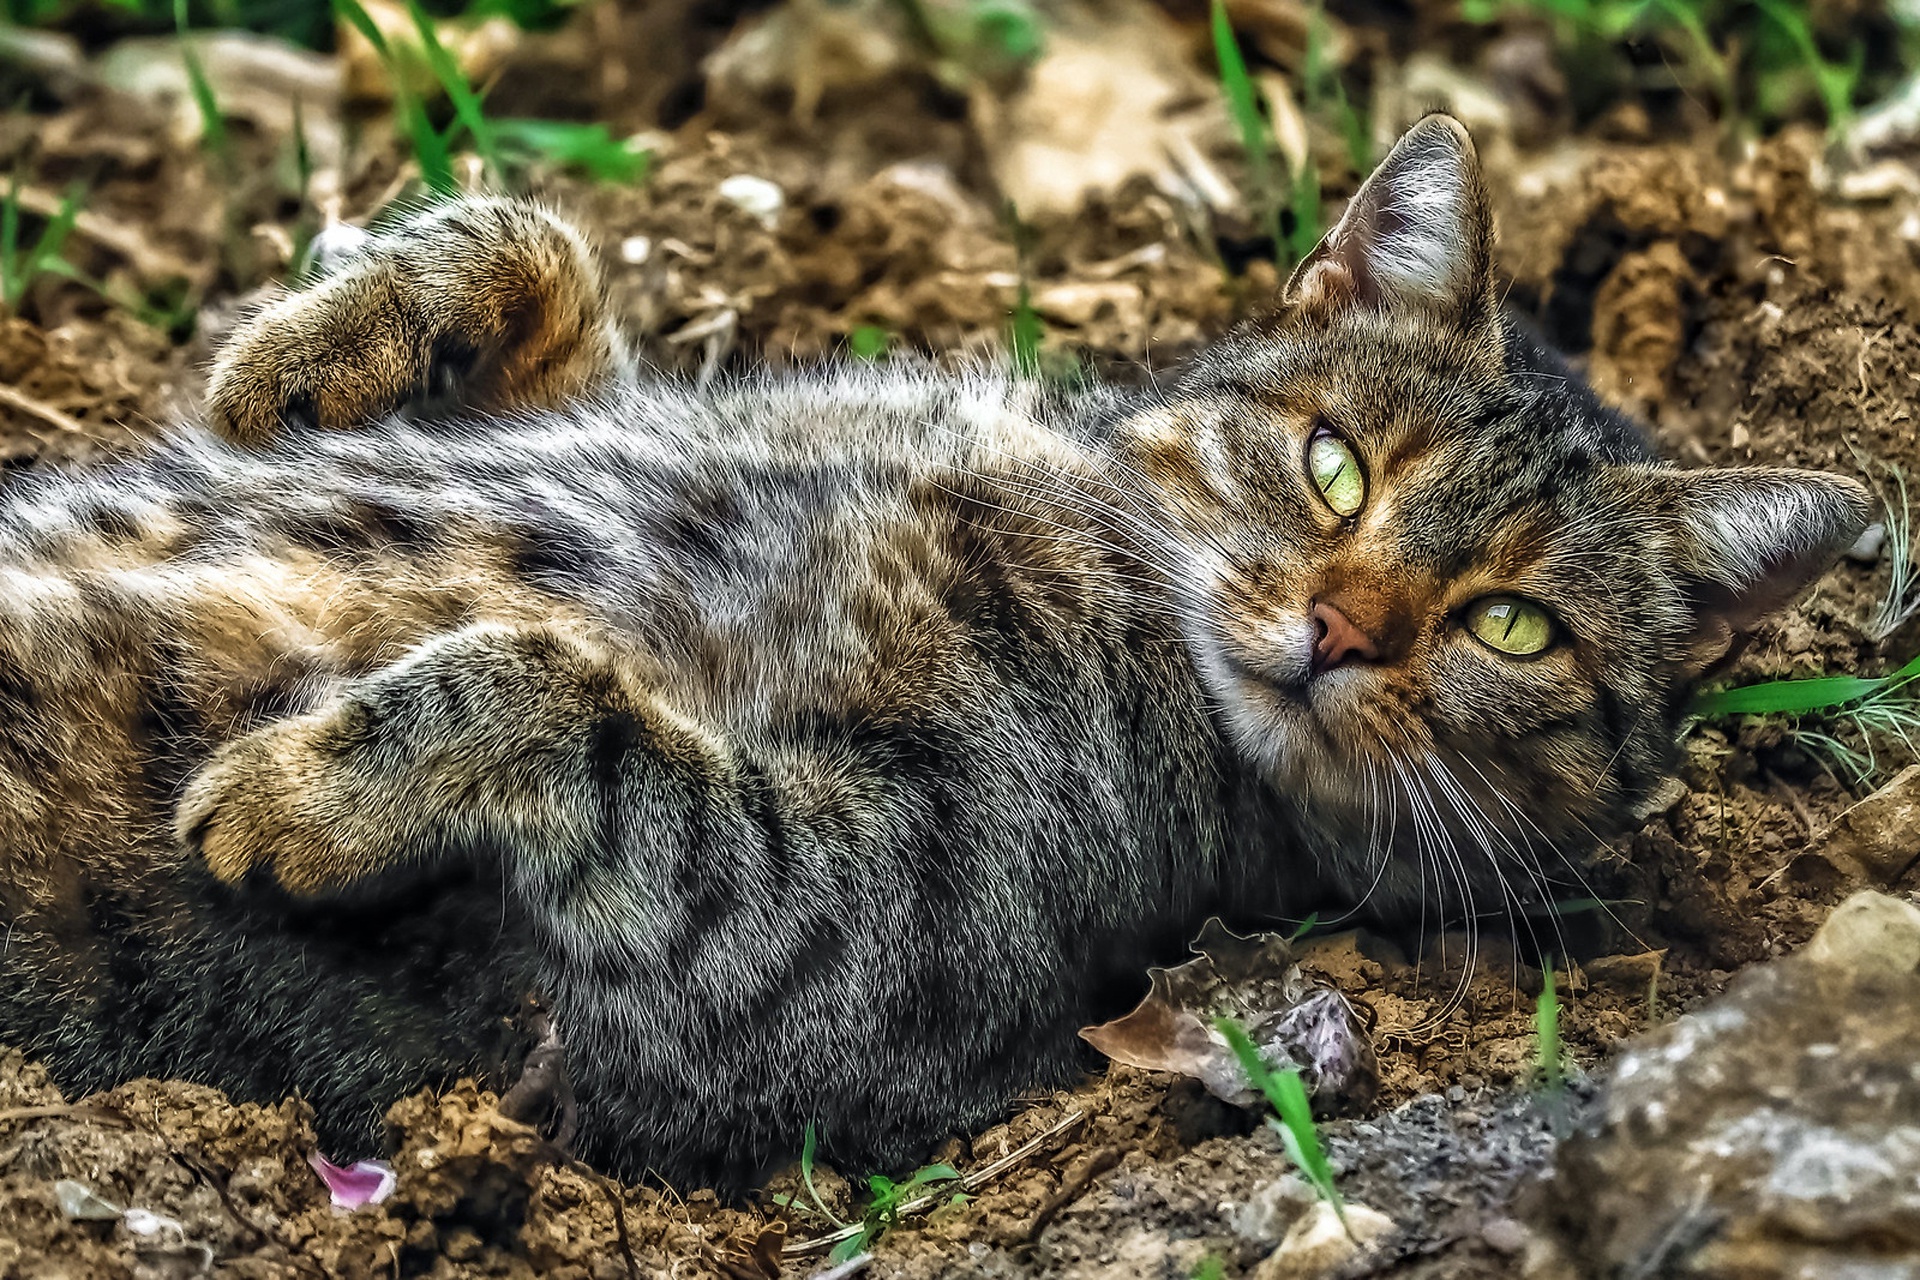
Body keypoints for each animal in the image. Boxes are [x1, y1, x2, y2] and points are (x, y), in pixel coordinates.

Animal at [0, 115, 1873, 1189]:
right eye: (1339, 465)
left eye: (1513, 626)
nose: (1343, 629)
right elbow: (547, 248)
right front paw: (300, 354)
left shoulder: (819, 948)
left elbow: (557, 690)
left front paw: (311, 790)